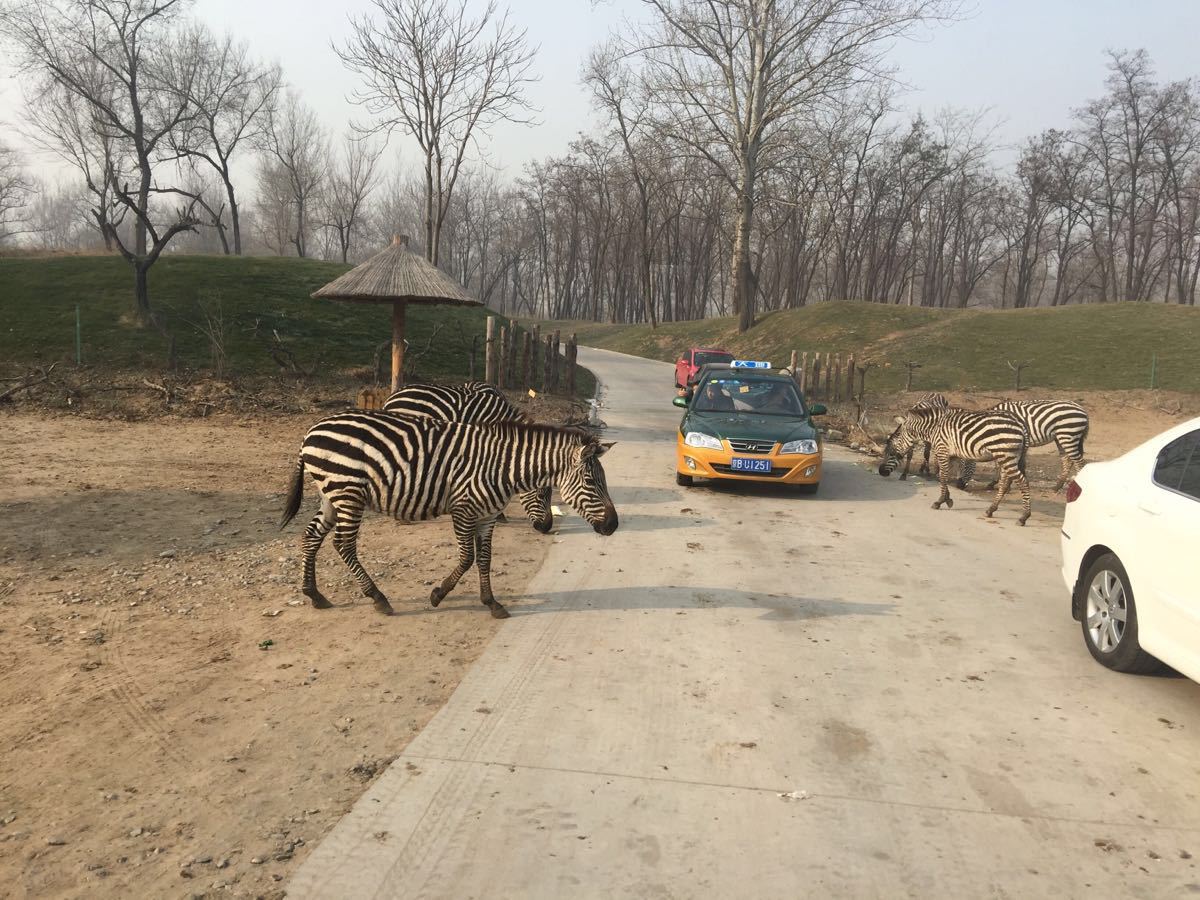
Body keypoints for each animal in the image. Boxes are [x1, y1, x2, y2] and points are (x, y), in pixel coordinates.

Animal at [280, 415, 619, 619]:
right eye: (591, 482)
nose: (613, 526)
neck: (501, 468)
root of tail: (313, 429)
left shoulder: (487, 516)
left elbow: (485, 559)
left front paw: (492, 603)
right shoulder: (464, 510)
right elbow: (467, 558)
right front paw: (437, 595)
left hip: (331, 494)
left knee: (311, 536)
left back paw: (314, 595)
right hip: (347, 492)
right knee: (343, 545)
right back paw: (378, 598)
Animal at [878, 408, 1036, 525]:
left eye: (891, 452)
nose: (881, 472)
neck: (933, 428)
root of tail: (1021, 423)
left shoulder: (942, 450)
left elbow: (942, 477)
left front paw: (939, 502)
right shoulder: (951, 455)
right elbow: (943, 477)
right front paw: (948, 499)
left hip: (1005, 455)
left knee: (1023, 482)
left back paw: (1024, 517)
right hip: (1009, 456)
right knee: (1005, 483)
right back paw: (991, 510)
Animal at [955, 400, 1089, 494]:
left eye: (964, 465)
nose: (958, 486)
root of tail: (1082, 409)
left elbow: (1000, 464)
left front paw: (1002, 485)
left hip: (1068, 434)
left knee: (1079, 462)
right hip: (1062, 437)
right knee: (1067, 460)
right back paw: (1057, 487)